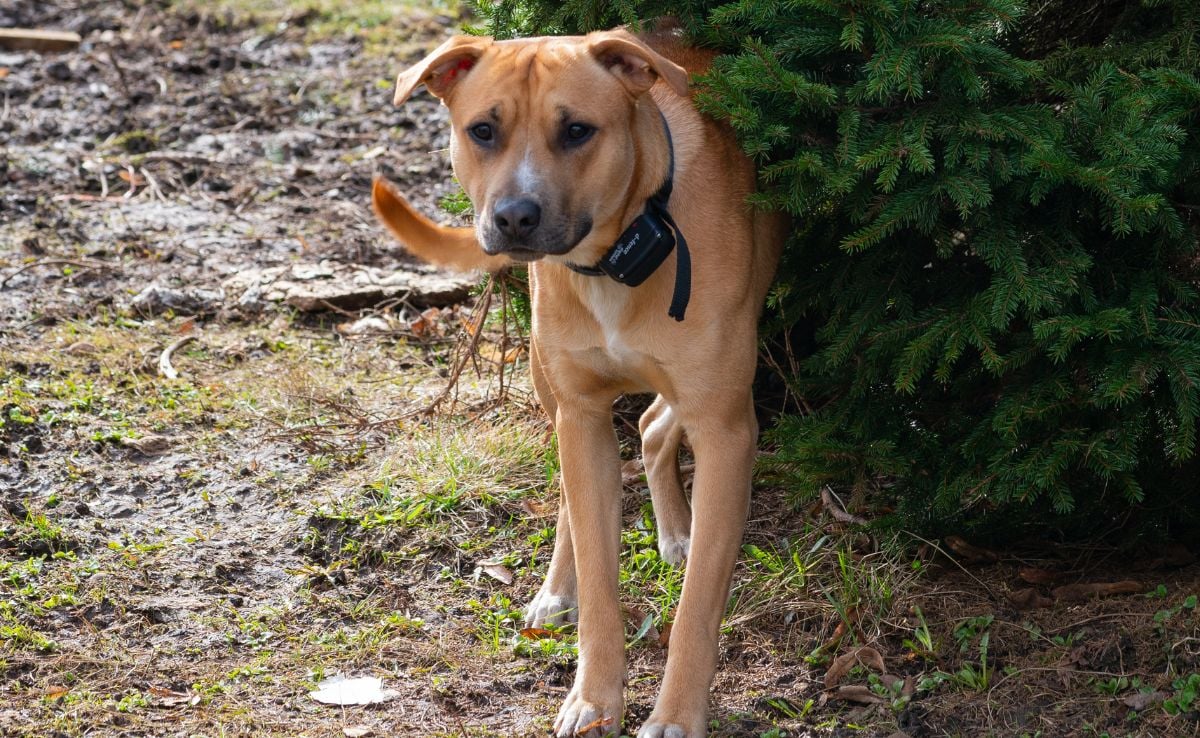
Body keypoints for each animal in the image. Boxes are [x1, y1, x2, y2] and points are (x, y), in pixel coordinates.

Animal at [374, 25, 787, 734]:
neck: (617, 257)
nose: (515, 216)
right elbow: (599, 577)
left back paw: (678, 530)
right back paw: (558, 587)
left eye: (576, 131)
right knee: (584, 481)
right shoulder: (584, 415)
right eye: (483, 130)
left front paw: (676, 714)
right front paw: (593, 698)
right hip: (553, 390)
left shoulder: (726, 426)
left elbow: (697, 606)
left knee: (652, 424)